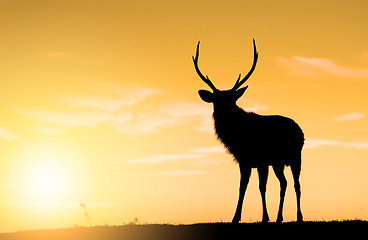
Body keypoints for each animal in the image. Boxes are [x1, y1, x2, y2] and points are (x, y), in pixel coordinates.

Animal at [194, 39, 304, 223]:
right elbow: (246, 187)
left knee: (296, 184)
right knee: (284, 183)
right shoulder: (245, 160)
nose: (222, 114)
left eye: (232, 100)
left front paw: (262, 217)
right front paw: (239, 217)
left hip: (296, 157)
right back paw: (279, 217)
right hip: (278, 162)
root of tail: (300, 130)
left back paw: (299, 216)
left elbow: (257, 187)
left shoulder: (259, 160)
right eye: (216, 101)